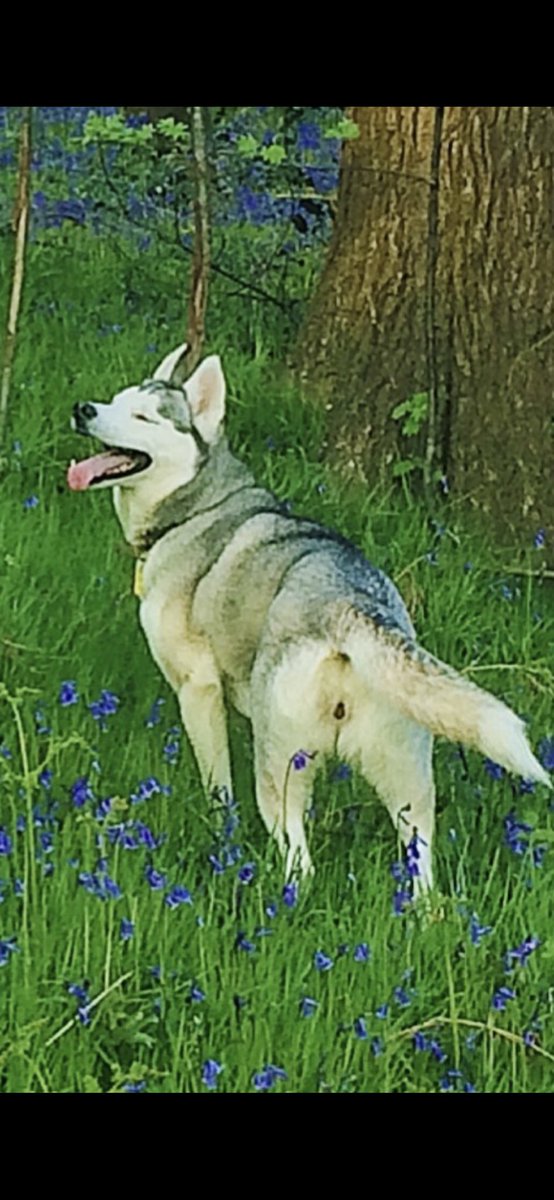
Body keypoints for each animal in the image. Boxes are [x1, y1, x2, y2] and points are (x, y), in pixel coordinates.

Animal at [67, 344, 550, 892]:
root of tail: (348, 605)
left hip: (281, 764)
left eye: (144, 416)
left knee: (298, 857)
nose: (84, 409)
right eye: (116, 400)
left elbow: (218, 787)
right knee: (421, 864)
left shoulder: (197, 689)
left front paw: (220, 829)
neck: (195, 506)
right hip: (406, 771)